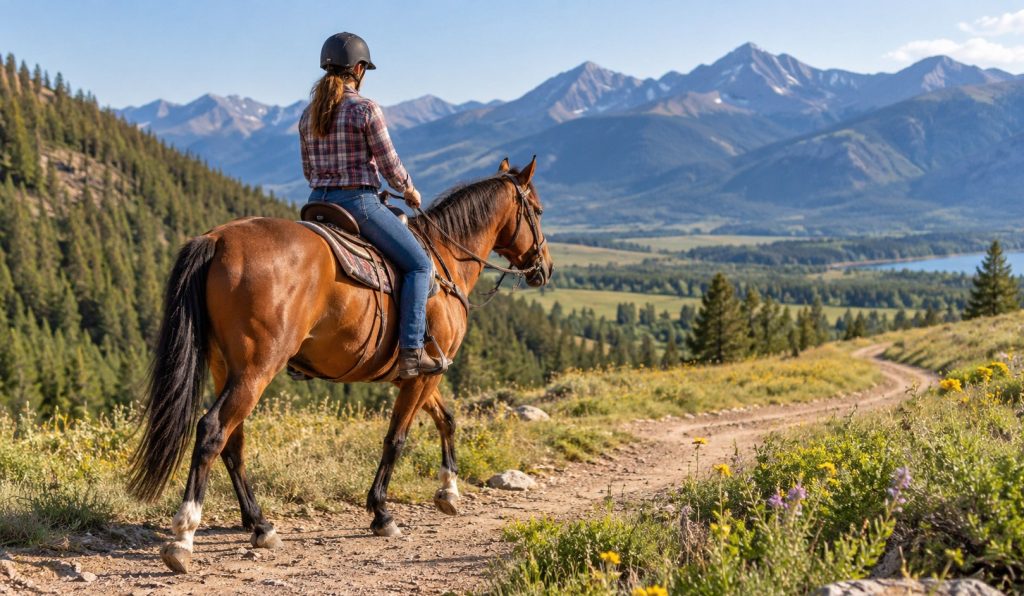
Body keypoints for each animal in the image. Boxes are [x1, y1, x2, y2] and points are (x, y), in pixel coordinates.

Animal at [126, 157, 552, 573]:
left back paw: (260, 524)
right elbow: (396, 439)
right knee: (213, 431)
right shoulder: (425, 373)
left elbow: (446, 419)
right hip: (256, 369)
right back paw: (184, 537)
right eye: (538, 210)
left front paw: (448, 491)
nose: (545, 268)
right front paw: (382, 512)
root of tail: (217, 240)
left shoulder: (418, 374)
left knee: (233, 442)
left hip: (224, 367)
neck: (444, 261)